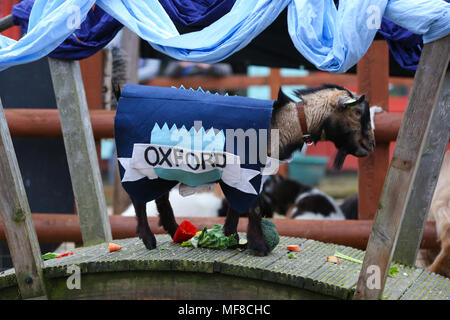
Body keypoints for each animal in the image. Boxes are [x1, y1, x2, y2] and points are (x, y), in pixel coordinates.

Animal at [119, 84, 372, 255]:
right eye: (357, 112)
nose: (369, 145)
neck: (280, 123)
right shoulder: (246, 172)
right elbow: (253, 206)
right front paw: (259, 245)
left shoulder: (242, 176)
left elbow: (237, 206)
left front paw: (230, 236)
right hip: (140, 166)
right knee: (139, 200)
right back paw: (148, 238)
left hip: (164, 169)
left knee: (161, 199)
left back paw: (175, 232)